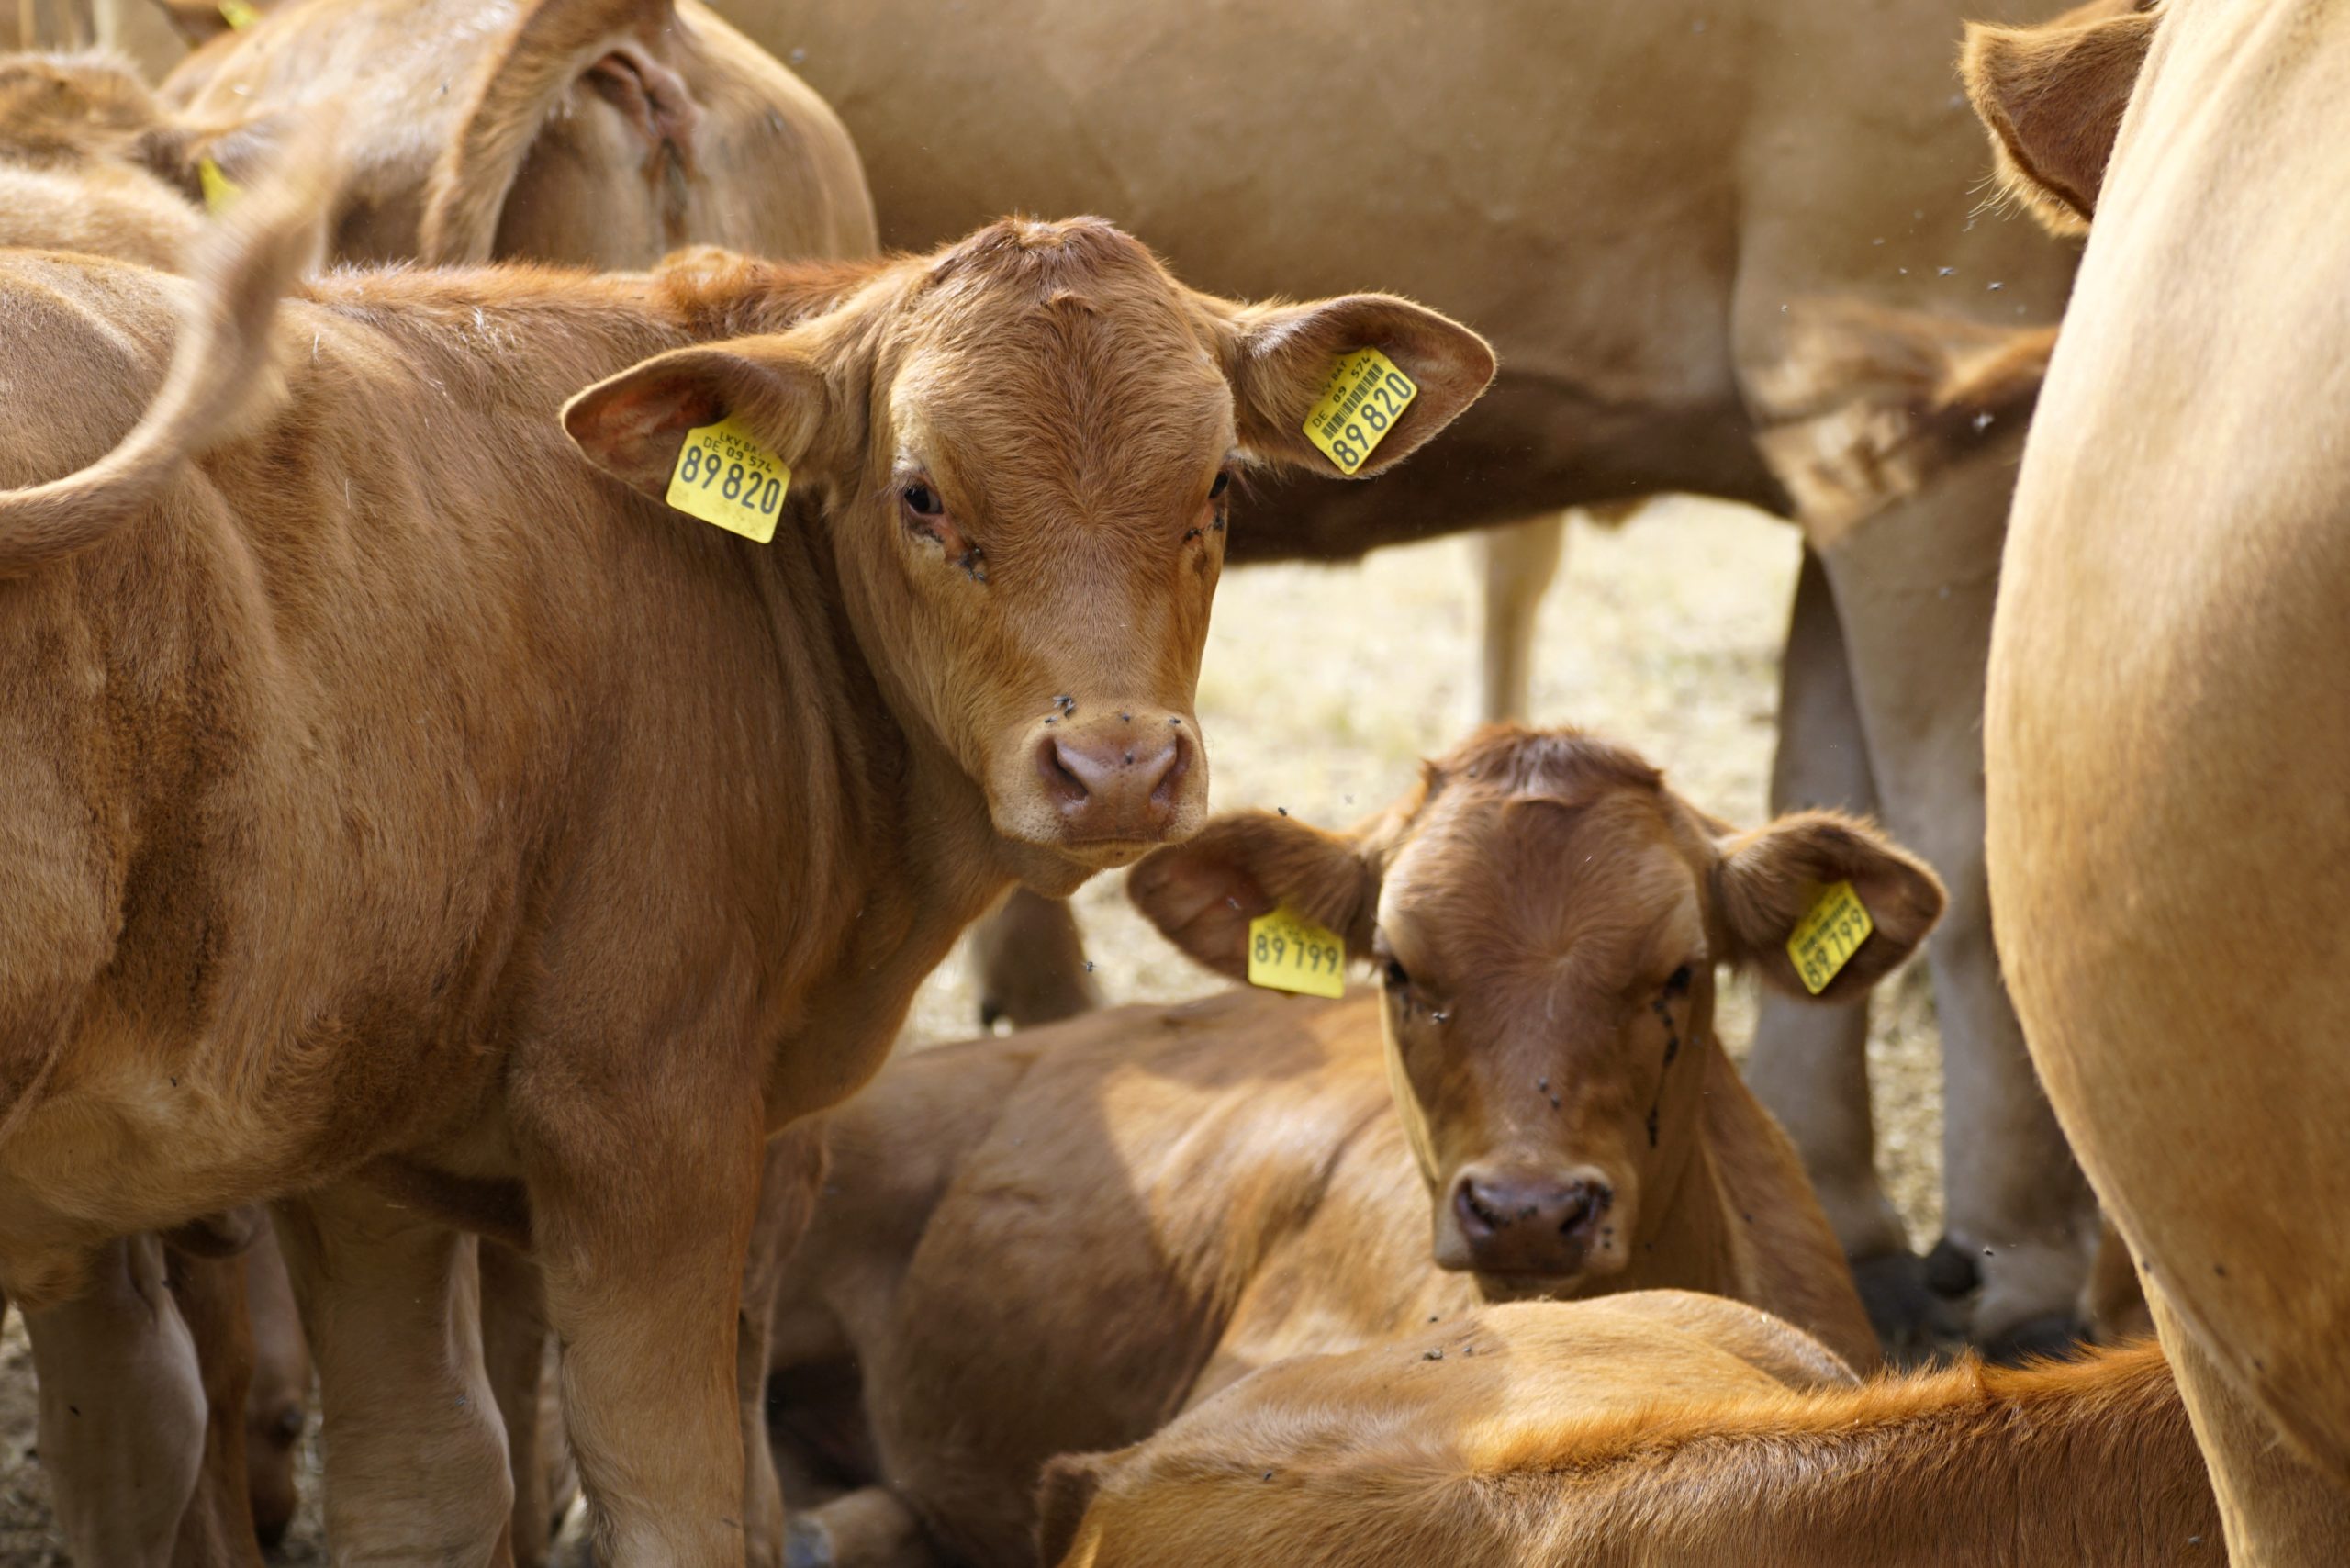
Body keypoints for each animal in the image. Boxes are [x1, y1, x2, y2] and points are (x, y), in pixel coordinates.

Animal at [0, 123, 1493, 1568]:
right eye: (920, 494)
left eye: (1220, 484)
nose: (1116, 767)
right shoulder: (644, 1129)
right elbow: (681, 1503)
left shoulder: (366, 1142)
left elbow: (427, 1483)